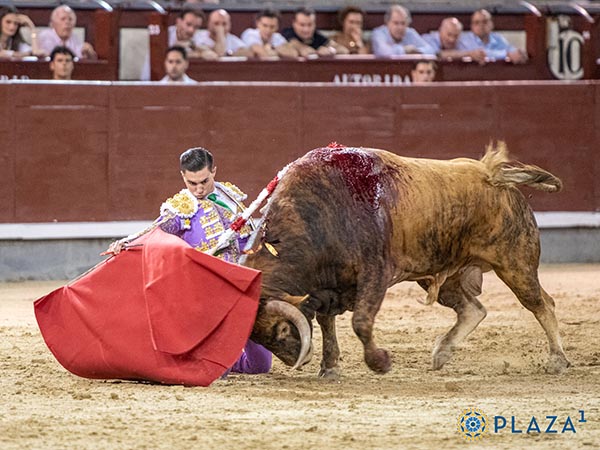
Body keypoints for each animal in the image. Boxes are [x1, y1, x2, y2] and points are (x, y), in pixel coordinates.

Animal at [241, 143, 568, 376]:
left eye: (283, 329)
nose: (299, 360)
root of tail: (494, 176)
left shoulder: (375, 274)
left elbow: (361, 322)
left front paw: (380, 363)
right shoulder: (327, 287)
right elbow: (326, 321)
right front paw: (330, 367)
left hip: (515, 263)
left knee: (541, 304)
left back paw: (557, 360)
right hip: (443, 272)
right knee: (472, 309)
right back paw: (442, 353)